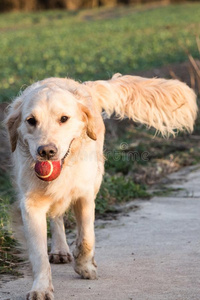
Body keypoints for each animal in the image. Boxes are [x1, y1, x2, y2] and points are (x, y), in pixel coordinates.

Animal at [5, 73, 197, 300]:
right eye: (31, 121)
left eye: (64, 119)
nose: (46, 152)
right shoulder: (30, 204)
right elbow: (38, 254)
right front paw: (41, 288)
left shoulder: (85, 195)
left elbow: (87, 237)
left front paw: (85, 267)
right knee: (56, 217)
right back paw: (60, 249)